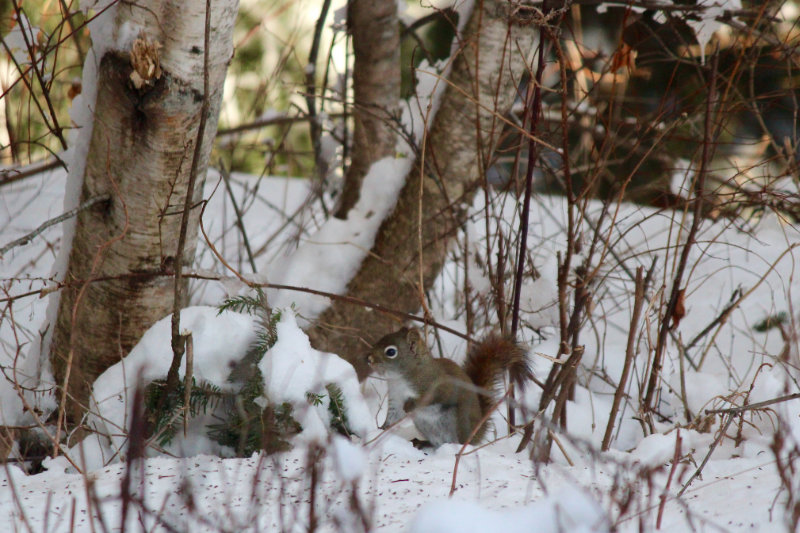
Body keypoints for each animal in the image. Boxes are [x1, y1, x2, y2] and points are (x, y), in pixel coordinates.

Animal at [368, 328, 532, 444]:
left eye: (391, 351)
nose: (369, 359)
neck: (399, 378)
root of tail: (476, 434)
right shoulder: (395, 397)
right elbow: (393, 416)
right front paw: (380, 430)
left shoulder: (438, 385)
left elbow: (435, 397)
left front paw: (411, 405)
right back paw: (423, 443)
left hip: (458, 421)